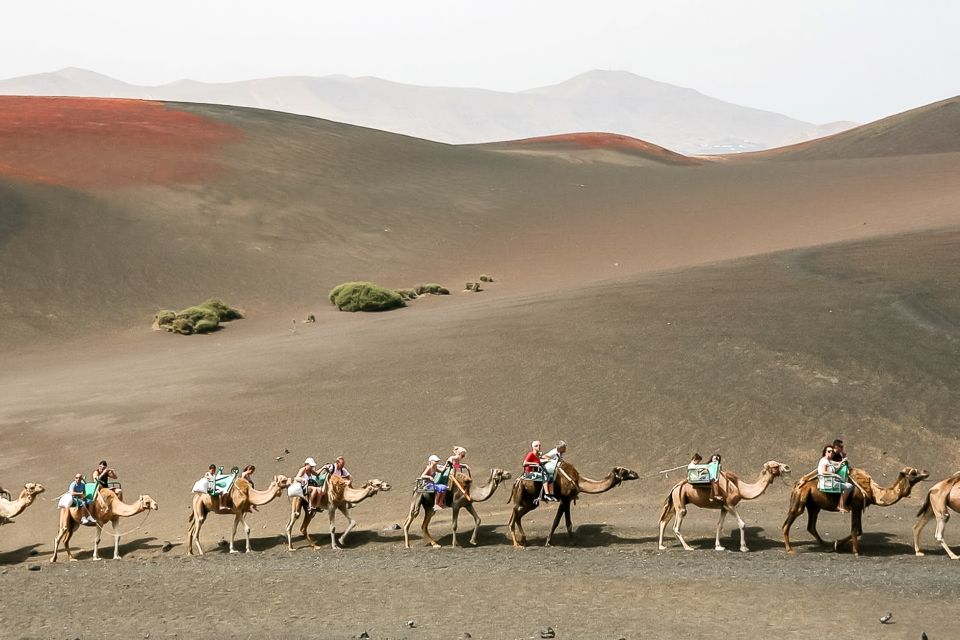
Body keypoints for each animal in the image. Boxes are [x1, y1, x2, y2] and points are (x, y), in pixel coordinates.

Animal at [502, 460, 636, 552]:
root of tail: (516, 482)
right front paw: (571, 542)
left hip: (530, 502)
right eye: (624, 471)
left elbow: (558, 521)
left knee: (518, 515)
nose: (636, 474)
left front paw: (549, 541)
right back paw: (517, 544)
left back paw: (524, 540)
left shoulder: (566, 500)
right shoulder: (565, 499)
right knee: (514, 514)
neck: (578, 481)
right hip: (520, 495)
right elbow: (565, 522)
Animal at [656, 458, 792, 552]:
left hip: (676, 502)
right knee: (676, 525)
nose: (787, 467)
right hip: (680, 503)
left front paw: (719, 546)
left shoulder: (724, 508)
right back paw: (688, 547)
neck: (740, 488)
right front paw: (744, 548)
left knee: (664, 521)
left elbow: (719, 525)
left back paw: (662, 546)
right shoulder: (730, 505)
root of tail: (675, 487)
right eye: (775, 465)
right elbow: (742, 524)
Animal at [780, 464, 928, 556]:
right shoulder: (856, 505)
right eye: (914, 472)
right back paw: (789, 549)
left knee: (811, 526)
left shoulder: (859, 507)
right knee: (788, 522)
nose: (926, 472)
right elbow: (855, 529)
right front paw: (855, 551)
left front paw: (837, 544)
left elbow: (859, 530)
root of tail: (796, 485)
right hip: (800, 499)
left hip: (813, 506)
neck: (873, 492)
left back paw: (827, 546)